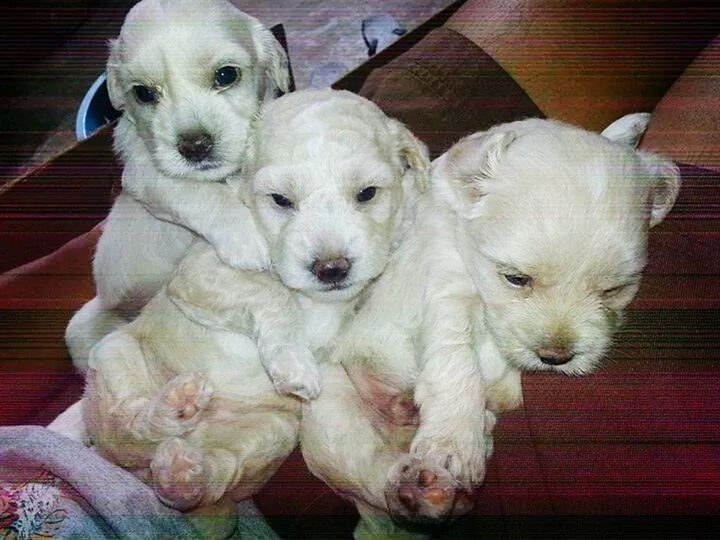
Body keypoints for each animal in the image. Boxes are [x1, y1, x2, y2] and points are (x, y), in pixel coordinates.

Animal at [64, 0, 290, 370]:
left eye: (226, 75)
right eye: (143, 93)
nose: (195, 146)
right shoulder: (147, 172)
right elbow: (198, 192)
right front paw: (247, 239)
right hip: (85, 327)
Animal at [300, 114, 680, 536]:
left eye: (613, 290)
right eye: (516, 278)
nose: (555, 357)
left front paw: (630, 127)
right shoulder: (448, 292)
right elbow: (456, 365)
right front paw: (454, 442)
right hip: (330, 411)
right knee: (369, 467)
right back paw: (421, 487)